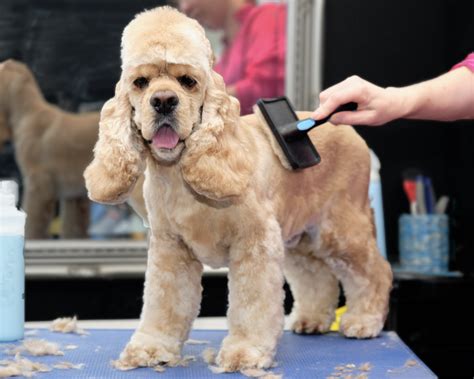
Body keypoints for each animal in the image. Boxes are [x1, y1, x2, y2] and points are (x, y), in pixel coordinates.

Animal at [84, 5, 392, 374]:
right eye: (140, 83)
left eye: (188, 81)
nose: (163, 101)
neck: (180, 176)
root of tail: (349, 132)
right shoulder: (171, 249)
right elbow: (163, 303)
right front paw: (151, 346)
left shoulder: (255, 242)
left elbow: (251, 304)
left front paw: (246, 351)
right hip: (298, 237)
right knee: (315, 274)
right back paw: (312, 319)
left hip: (340, 229)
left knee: (375, 270)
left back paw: (364, 320)